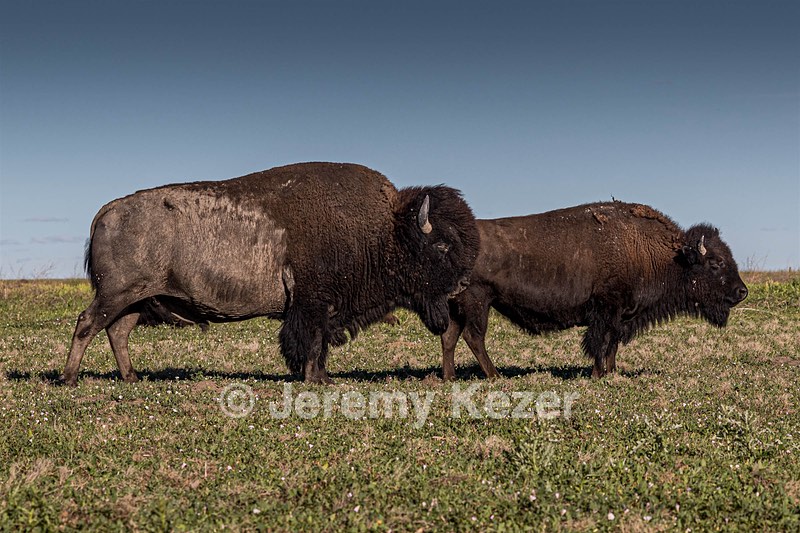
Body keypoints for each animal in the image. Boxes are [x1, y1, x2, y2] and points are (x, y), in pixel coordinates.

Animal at [63, 162, 479, 385]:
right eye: (442, 246)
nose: (462, 283)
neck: (386, 228)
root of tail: (107, 211)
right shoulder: (312, 305)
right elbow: (310, 342)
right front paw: (314, 379)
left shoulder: (324, 310)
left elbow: (320, 345)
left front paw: (322, 378)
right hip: (116, 294)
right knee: (86, 324)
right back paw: (69, 378)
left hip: (136, 300)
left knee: (116, 332)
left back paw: (131, 377)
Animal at [441, 202, 748, 379]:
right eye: (716, 263)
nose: (741, 292)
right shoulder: (606, 310)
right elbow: (600, 342)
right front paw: (598, 375)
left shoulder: (621, 316)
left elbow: (612, 344)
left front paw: (611, 373)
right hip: (478, 301)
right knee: (473, 336)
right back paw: (495, 376)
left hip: (457, 306)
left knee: (450, 337)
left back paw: (449, 377)